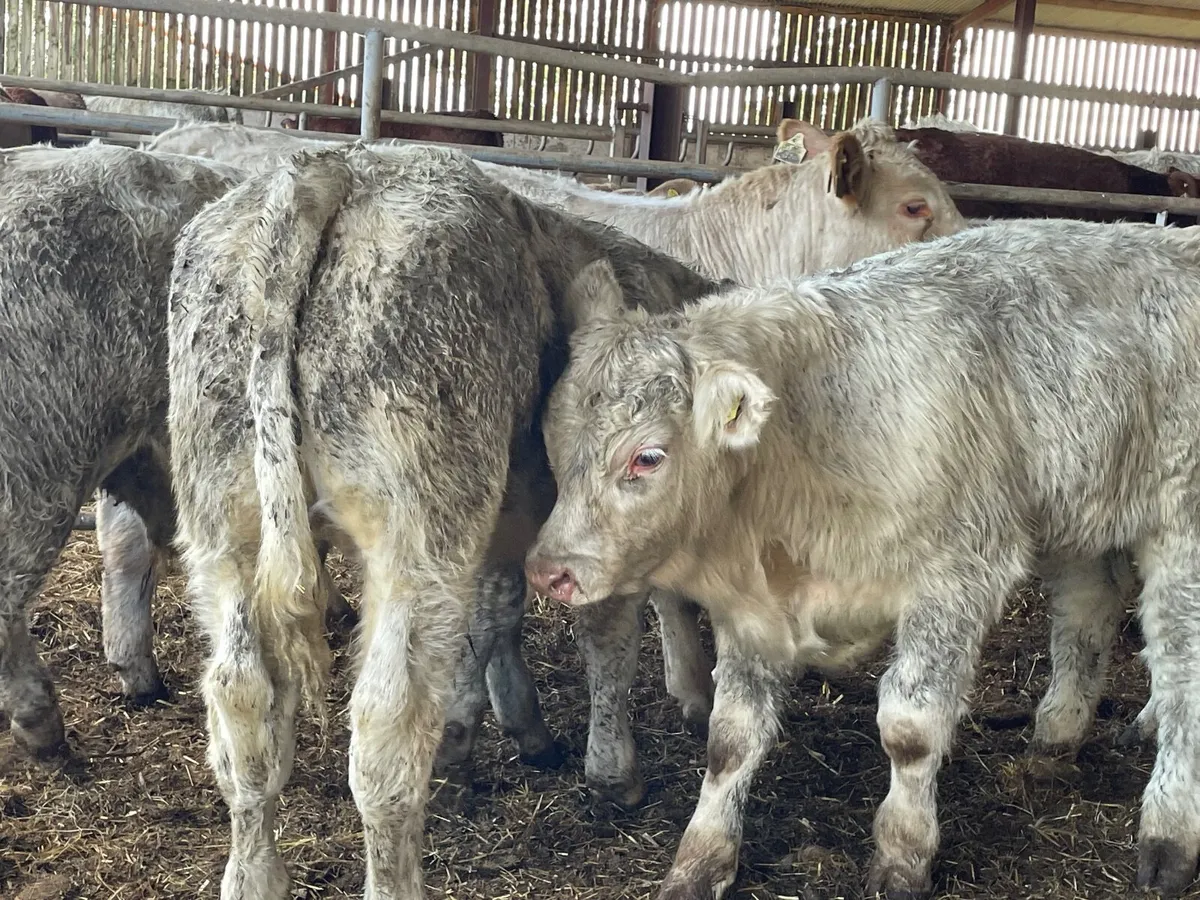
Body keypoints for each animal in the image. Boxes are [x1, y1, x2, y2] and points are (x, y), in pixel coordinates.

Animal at [165, 142, 720, 899]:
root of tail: (330, 168)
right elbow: (606, 639)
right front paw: (615, 769)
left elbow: (491, 620)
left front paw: (492, 728)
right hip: (416, 538)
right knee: (385, 730)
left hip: (223, 528)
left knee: (242, 703)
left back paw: (254, 875)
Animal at [526, 217, 1200, 899]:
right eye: (551, 441)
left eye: (647, 457)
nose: (548, 571)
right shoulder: (753, 609)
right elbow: (730, 738)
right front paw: (699, 862)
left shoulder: (957, 575)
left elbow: (910, 728)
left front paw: (903, 856)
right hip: (1082, 507)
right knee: (1088, 610)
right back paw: (1055, 739)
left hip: (1181, 523)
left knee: (1180, 668)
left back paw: (1168, 835)